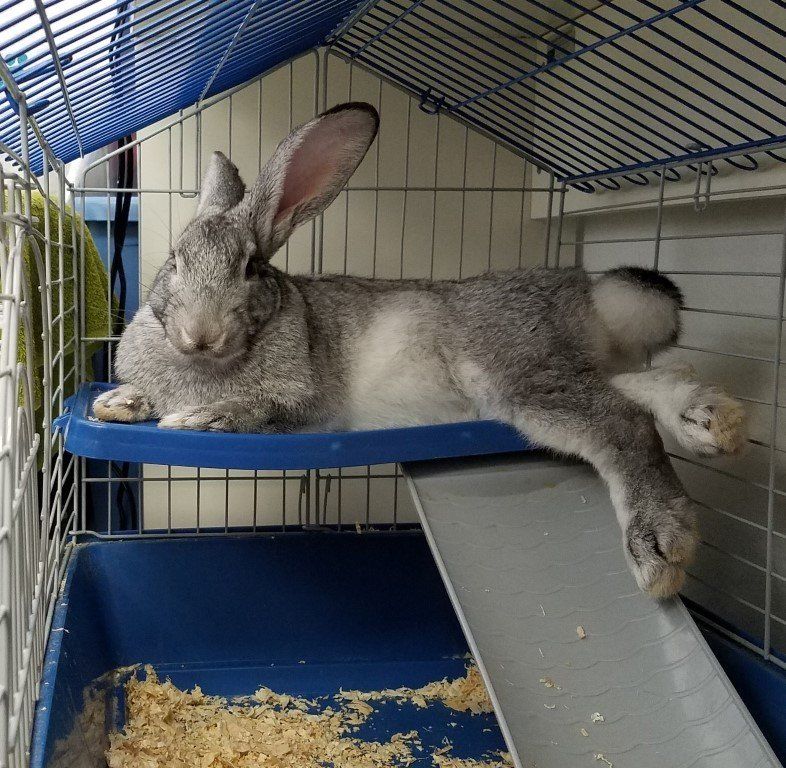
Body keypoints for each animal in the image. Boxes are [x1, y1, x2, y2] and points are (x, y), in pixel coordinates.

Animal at [94, 101, 747, 598]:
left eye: (251, 267)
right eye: (173, 260)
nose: (199, 333)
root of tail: (583, 293)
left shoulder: (300, 404)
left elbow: (253, 412)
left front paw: (198, 417)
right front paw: (116, 404)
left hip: (514, 377)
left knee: (622, 421)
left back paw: (660, 546)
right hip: (561, 369)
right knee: (642, 387)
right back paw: (711, 422)